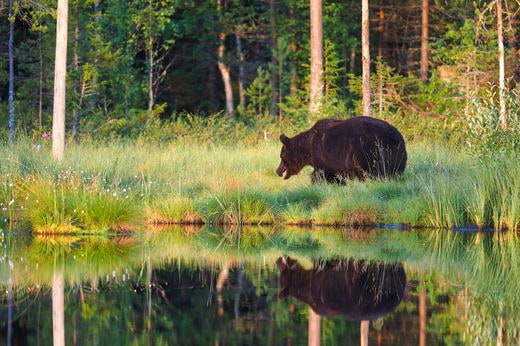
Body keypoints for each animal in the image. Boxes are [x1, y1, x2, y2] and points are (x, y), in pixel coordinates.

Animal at [276, 116, 406, 182]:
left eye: (281, 156)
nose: (278, 171)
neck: (308, 148)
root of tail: (397, 137)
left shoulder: (322, 156)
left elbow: (319, 174)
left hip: (368, 150)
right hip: (396, 156)